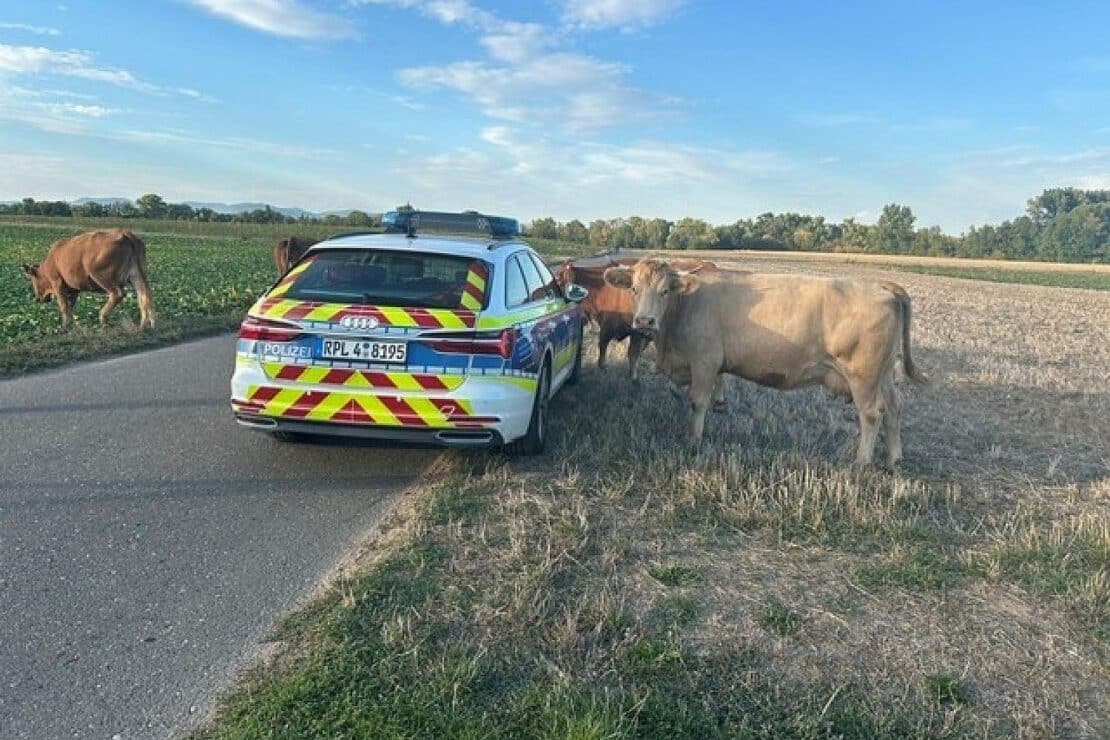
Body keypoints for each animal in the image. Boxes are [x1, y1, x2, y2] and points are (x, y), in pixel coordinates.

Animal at [20, 229, 155, 330]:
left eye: (32, 279)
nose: (37, 298)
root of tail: (125, 233)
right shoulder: (73, 289)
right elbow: (71, 307)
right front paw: (72, 325)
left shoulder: (57, 283)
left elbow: (63, 306)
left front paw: (63, 327)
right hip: (137, 274)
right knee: (144, 294)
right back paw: (145, 324)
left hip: (101, 276)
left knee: (118, 293)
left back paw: (103, 317)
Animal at [603, 259, 927, 466]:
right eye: (633, 289)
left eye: (665, 291)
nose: (644, 321)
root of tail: (881, 285)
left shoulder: (705, 361)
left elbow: (697, 402)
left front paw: (692, 439)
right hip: (883, 375)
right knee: (894, 408)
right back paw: (893, 459)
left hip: (863, 376)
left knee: (871, 414)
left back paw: (861, 463)